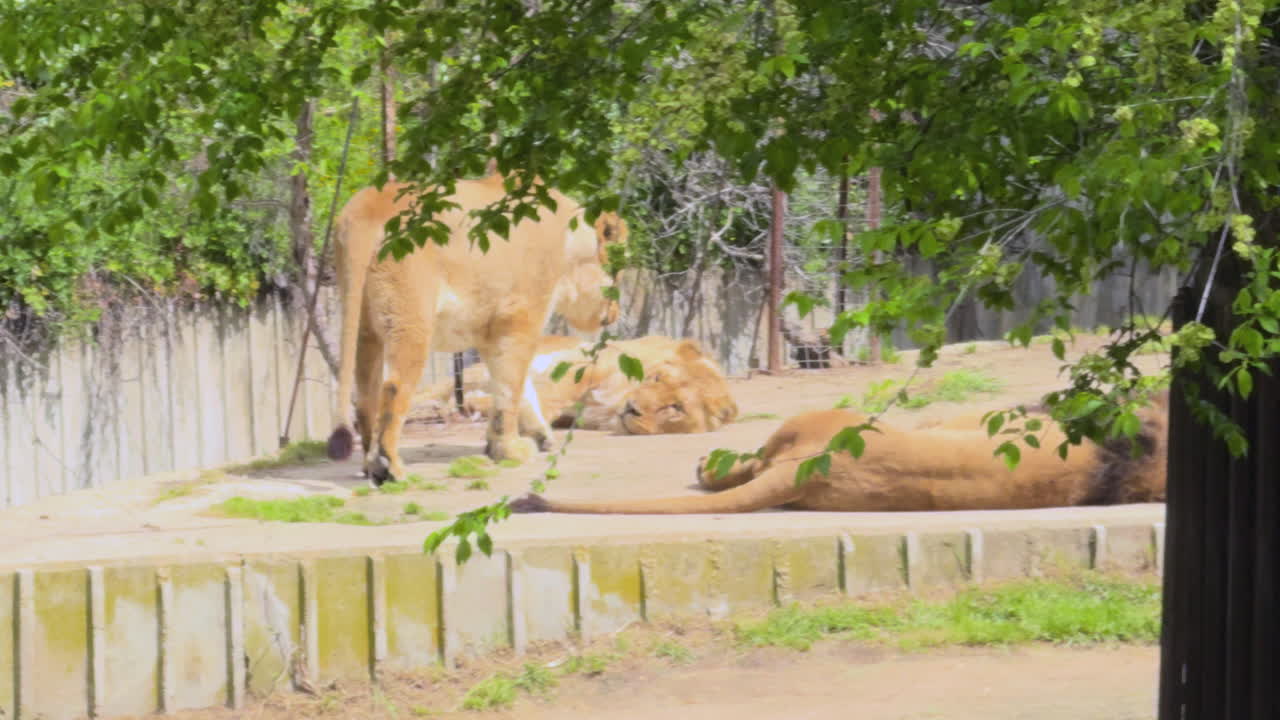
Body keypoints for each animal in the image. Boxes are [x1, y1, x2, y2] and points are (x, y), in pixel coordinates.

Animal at [326, 173, 626, 485]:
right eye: (620, 272)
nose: (616, 311)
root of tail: (368, 205)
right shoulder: (519, 318)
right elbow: (511, 387)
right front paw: (510, 450)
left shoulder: (490, 329)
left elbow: (519, 387)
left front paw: (534, 437)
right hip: (411, 320)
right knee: (394, 387)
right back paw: (389, 467)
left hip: (364, 324)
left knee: (365, 395)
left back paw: (369, 465)